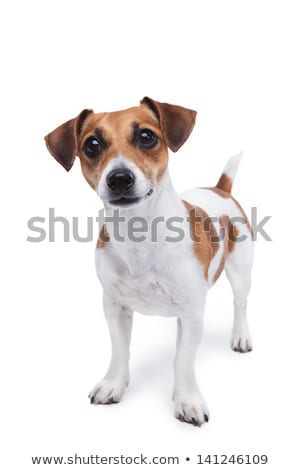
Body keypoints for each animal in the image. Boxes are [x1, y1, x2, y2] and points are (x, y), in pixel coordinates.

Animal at [45, 97, 254, 428]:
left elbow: (183, 361)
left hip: (241, 271)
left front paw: (187, 400)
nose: (119, 178)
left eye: (146, 136)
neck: (138, 233)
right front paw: (113, 384)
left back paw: (241, 336)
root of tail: (220, 189)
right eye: (92, 144)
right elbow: (119, 351)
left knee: (240, 303)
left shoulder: (192, 312)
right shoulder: (114, 307)